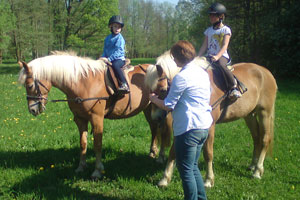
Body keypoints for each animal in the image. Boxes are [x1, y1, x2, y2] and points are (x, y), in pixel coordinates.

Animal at [18, 51, 171, 180]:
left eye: (30, 85)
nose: (32, 110)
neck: (83, 83)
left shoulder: (97, 118)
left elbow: (97, 144)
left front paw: (97, 171)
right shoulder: (80, 119)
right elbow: (83, 143)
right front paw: (81, 167)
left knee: (162, 130)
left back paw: (161, 157)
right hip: (148, 109)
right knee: (154, 128)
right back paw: (152, 152)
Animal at [144, 51, 278, 188]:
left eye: (162, 90)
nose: (156, 117)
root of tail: (266, 72)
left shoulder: (210, 125)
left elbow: (208, 152)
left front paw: (208, 180)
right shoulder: (184, 125)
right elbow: (173, 151)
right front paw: (165, 178)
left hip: (264, 113)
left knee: (265, 139)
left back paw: (257, 170)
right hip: (249, 115)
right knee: (256, 138)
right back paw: (252, 165)